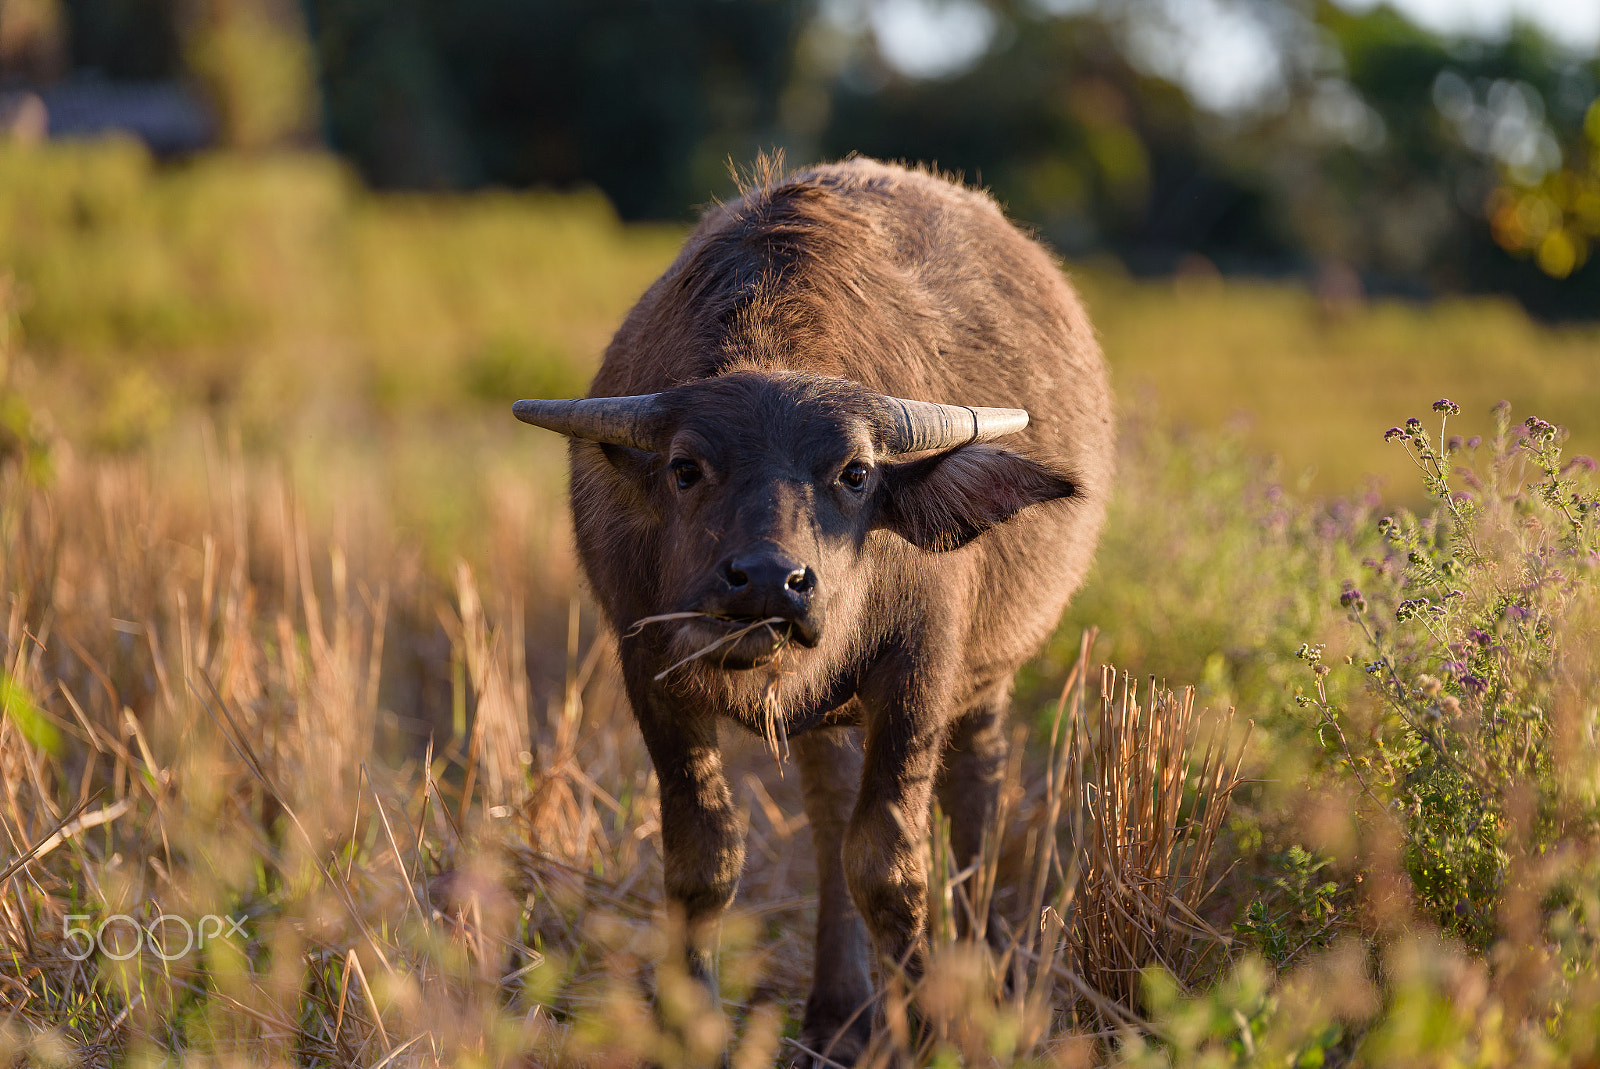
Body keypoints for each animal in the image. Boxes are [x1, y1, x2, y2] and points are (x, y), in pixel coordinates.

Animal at [512, 156, 1113, 1062]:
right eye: (686, 467)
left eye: (856, 474)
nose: (768, 582)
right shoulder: (648, 666)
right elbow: (705, 853)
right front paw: (687, 1023)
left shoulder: (919, 671)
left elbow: (889, 863)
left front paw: (924, 1028)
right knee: (829, 816)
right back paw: (838, 1008)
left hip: (987, 680)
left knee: (975, 798)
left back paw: (995, 977)